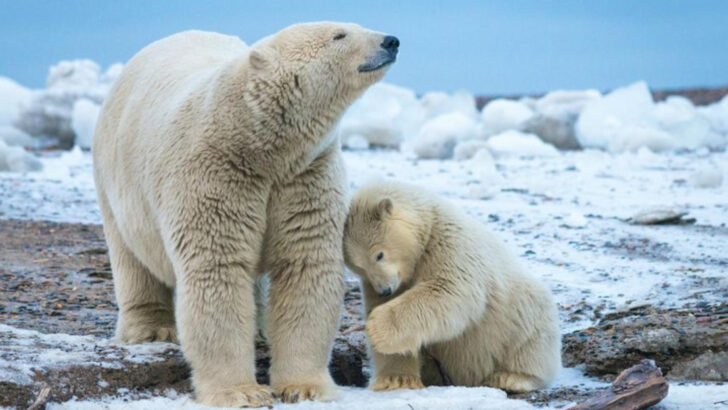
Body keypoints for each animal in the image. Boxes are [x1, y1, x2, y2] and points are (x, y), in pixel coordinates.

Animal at [92, 23, 398, 406]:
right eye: (339, 35)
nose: (391, 41)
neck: (254, 140)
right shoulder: (213, 173)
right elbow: (218, 270)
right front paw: (241, 392)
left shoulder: (304, 175)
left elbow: (303, 266)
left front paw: (304, 387)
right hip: (116, 180)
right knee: (132, 257)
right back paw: (151, 328)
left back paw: (260, 331)